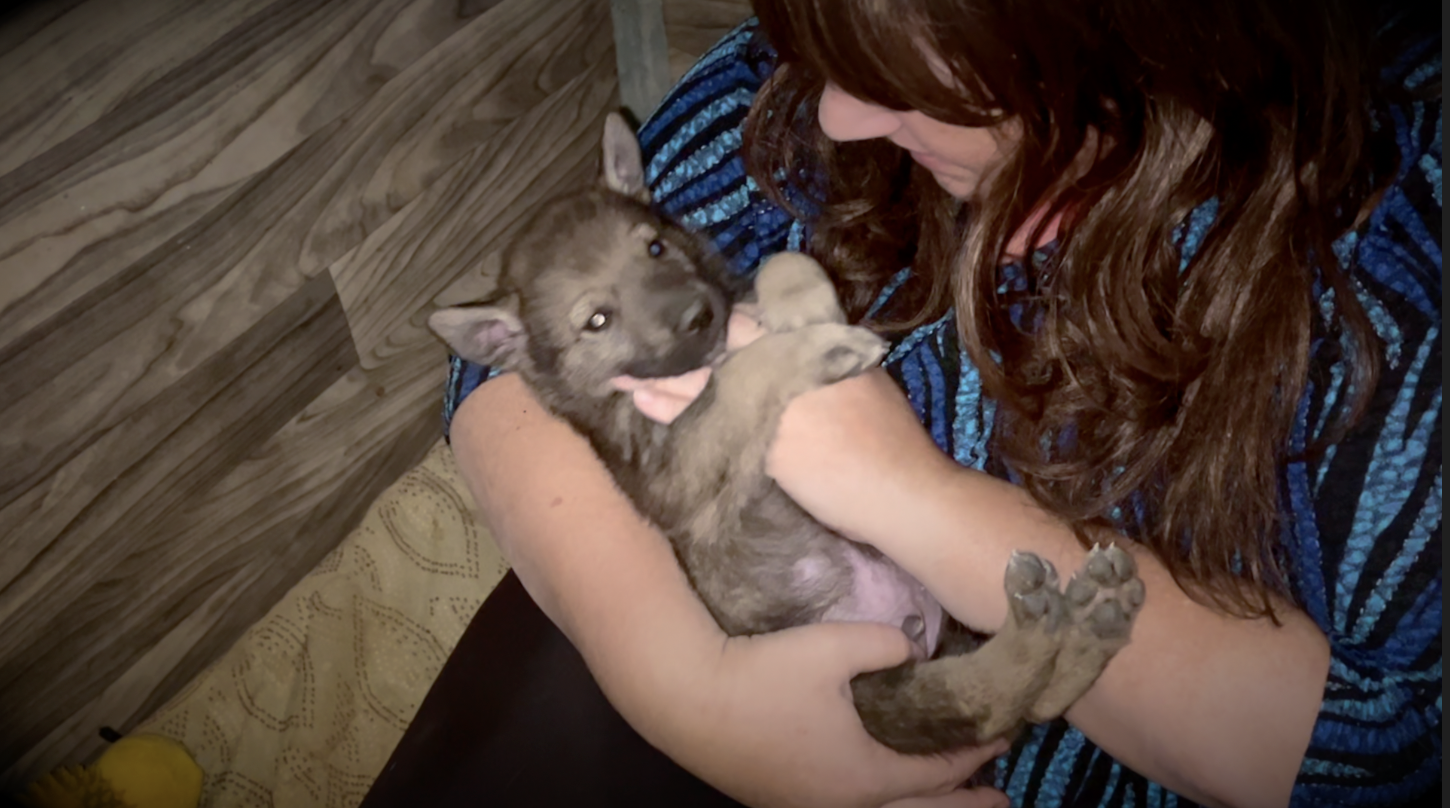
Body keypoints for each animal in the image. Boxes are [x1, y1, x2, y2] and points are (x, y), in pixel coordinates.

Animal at [429, 111, 1142, 748]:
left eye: (655, 247)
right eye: (596, 321)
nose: (698, 314)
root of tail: (920, 625)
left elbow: (778, 266)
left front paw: (807, 304)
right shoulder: (676, 476)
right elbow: (740, 378)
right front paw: (821, 348)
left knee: (1030, 705)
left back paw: (1093, 616)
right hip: (871, 691)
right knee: (990, 704)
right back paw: (1053, 620)